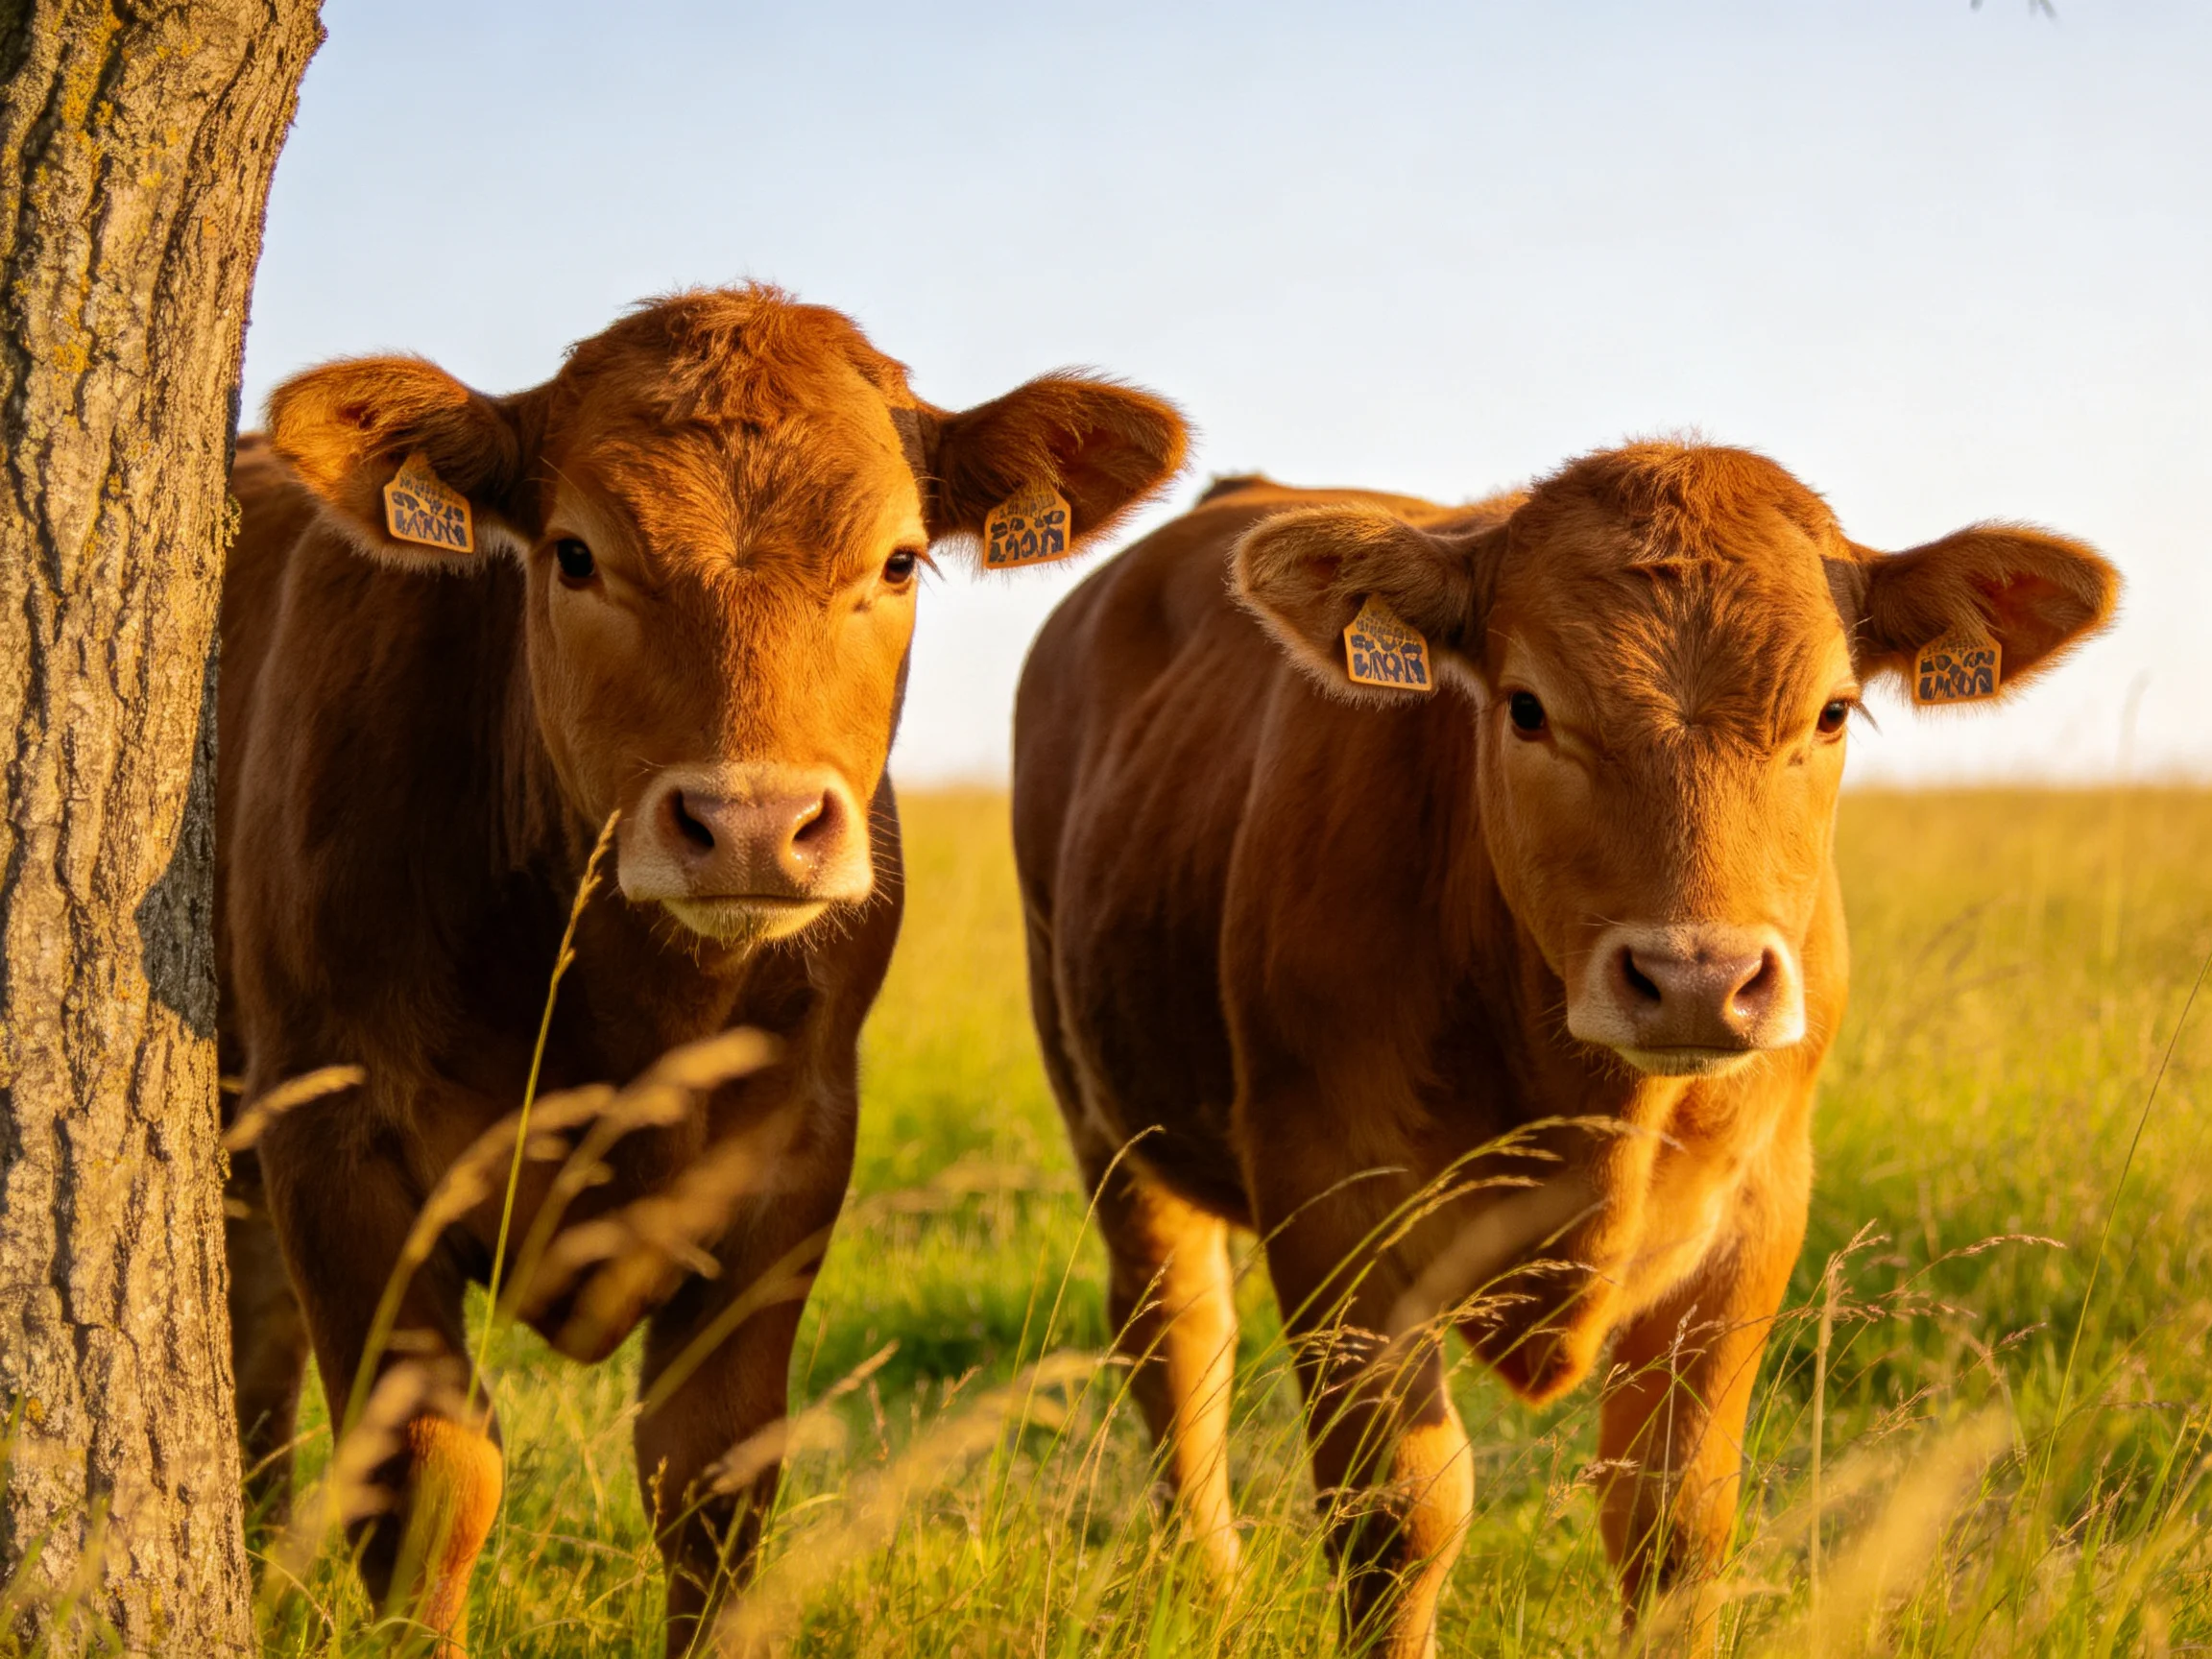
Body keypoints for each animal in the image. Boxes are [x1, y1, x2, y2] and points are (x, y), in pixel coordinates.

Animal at [218, 285, 1186, 1652]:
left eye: (898, 560)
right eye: (574, 554)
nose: (749, 825)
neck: (626, 1017)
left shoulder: (791, 1155)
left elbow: (713, 1482)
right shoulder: (336, 1138)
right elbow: (427, 1480)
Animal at [1011, 447, 2116, 1656]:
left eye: (1832, 712)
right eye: (1528, 708)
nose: (1698, 978)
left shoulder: (1757, 1208)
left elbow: (1672, 1520)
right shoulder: (1329, 1193)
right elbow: (1400, 1513)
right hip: (1103, 1110)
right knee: (1175, 1337)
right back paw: (1208, 1584)